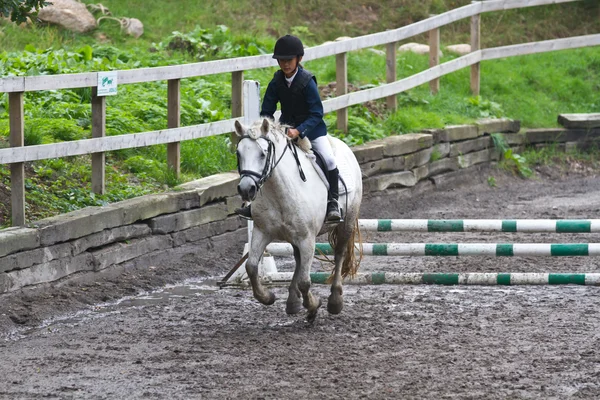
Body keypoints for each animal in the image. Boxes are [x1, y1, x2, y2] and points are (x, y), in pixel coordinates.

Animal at [234, 119, 364, 322]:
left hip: (347, 222)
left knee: (339, 254)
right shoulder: (262, 231)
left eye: (263, 153)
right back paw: (293, 301)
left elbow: (305, 281)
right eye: (238, 153)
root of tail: (341, 144)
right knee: (297, 260)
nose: (246, 189)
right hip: (294, 236)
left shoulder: (307, 239)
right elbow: (251, 267)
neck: (278, 191)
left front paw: (313, 305)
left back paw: (335, 301)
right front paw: (267, 297)